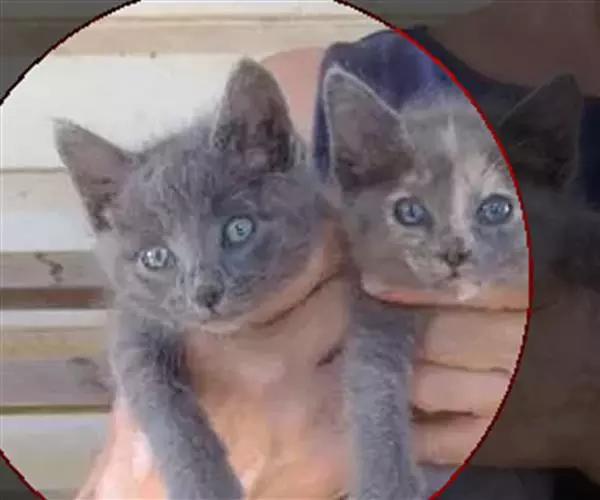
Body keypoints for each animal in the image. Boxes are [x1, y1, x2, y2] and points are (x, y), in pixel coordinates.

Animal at [54, 57, 351, 500]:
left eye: (239, 229)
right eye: (156, 257)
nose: (205, 292)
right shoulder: (134, 325)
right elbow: (161, 403)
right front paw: (204, 485)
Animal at [320, 65, 531, 500]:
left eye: (495, 209)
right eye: (411, 212)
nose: (454, 253)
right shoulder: (375, 303)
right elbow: (372, 381)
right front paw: (387, 485)